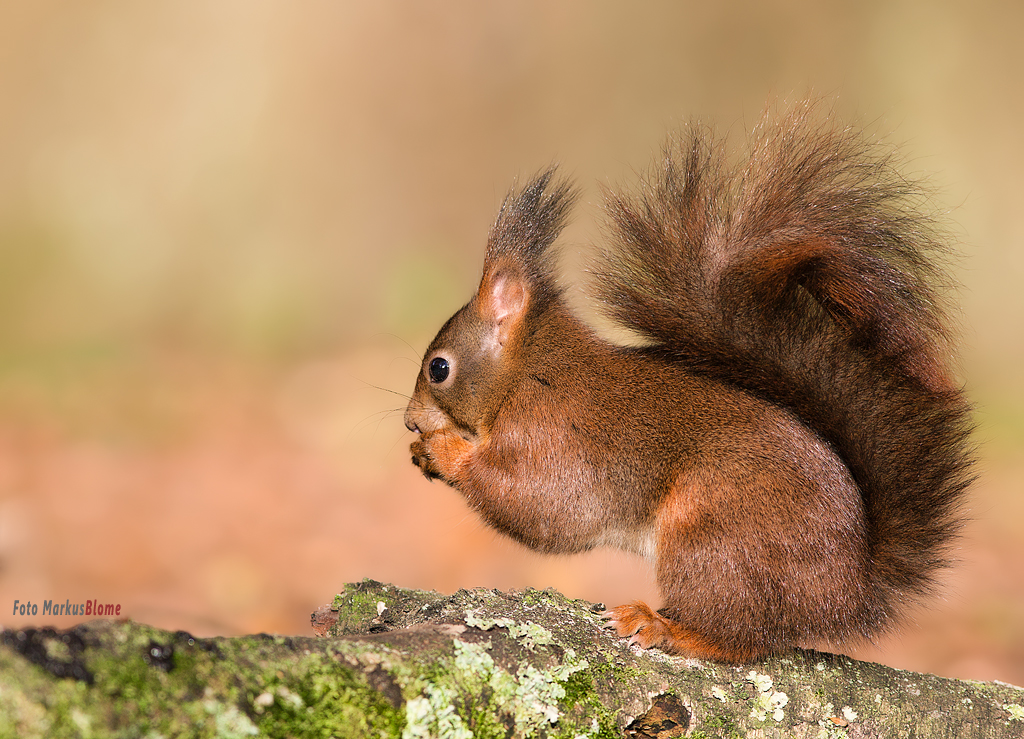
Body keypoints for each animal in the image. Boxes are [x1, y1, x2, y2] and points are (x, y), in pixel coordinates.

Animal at [403, 104, 970, 663]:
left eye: (438, 368)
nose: (408, 421)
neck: (529, 371)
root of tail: (846, 593)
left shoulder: (554, 436)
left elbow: (541, 506)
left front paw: (443, 449)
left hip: (715, 541)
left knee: (737, 640)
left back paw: (660, 625)